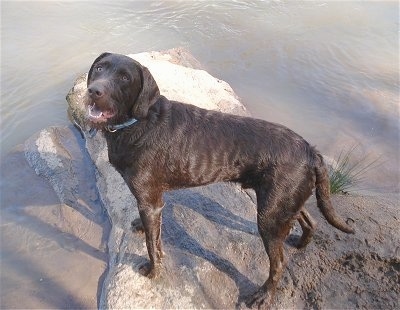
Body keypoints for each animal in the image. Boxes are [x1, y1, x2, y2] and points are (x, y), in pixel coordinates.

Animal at [84, 52, 354, 308]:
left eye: (125, 78)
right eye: (99, 68)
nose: (94, 91)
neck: (139, 122)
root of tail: (311, 151)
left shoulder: (150, 202)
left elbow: (153, 245)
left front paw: (153, 271)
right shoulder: (151, 201)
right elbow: (151, 230)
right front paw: (142, 228)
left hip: (269, 216)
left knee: (279, 263)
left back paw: (263, 296)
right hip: (283, 202)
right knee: (309, 220)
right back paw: (300, 243)